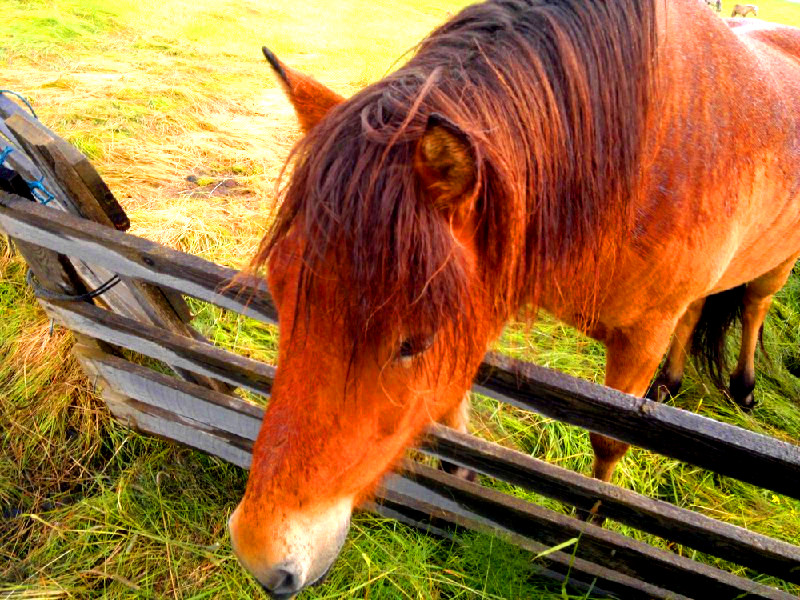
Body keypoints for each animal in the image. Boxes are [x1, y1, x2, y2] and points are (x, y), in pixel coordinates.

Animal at [227, 1, 800, 596]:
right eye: (281, 292)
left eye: (413, 343)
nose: (261, 554)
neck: (631, 154)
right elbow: (452, 399)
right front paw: (461, 472)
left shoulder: (641, 337)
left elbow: (608, 443)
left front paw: (588, 529)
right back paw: (671, 383)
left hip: (777, 265)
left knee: (754, 305)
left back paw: (744, 388)